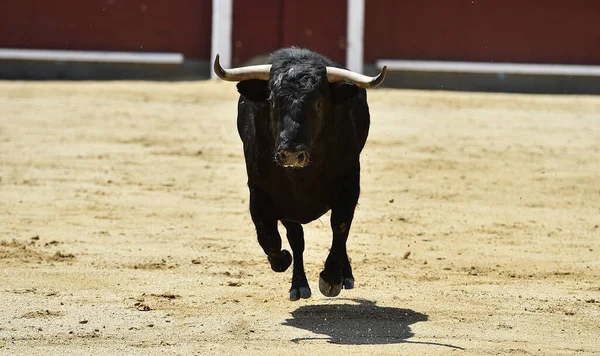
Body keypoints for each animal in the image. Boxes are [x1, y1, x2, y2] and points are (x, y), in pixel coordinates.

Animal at [213, 46, 386, 298]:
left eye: (319, 104)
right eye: (273, 101)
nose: (292, 153)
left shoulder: (349, 185)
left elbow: (340, 226)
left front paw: (332, 279)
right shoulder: (261, 192)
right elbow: (270, 236)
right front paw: (284, 261)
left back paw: (344, 275)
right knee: (296, 239)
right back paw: (299, 284)